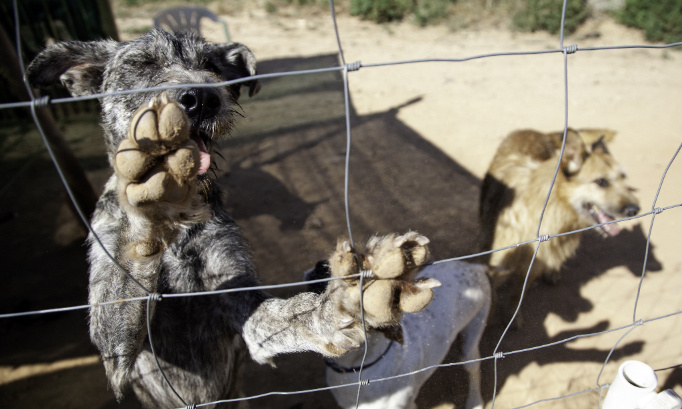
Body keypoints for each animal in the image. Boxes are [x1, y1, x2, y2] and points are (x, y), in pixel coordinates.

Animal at [26, 29, 436, 408]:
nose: (202, 98)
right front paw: (149, 192)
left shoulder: (242, 307)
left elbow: (283, 316)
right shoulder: (117, 355)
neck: (178, 232)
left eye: (213, 67)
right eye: (143, 64)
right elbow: (121, 303)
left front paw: (343, 304)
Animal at [478, 127, 636, 326]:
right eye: (601, 182)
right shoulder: (497, 265)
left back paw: (552, 271)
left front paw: (512, 316)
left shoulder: (533, 266)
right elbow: (492, 296)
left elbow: (517, 294)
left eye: (624, 179)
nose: (635, 209)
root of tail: (537, 132)